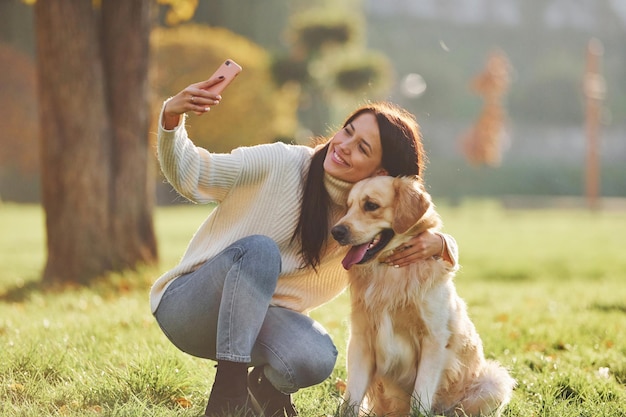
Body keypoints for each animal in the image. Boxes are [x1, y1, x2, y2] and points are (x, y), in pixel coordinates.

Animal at [330, 176, 516, 416]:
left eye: (371, 205)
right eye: (348, 206)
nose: (336, 232)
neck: (389, 273)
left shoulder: (433, 339)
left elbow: (420, 396)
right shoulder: (361, 338)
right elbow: (351, 396)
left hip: (495, 381)